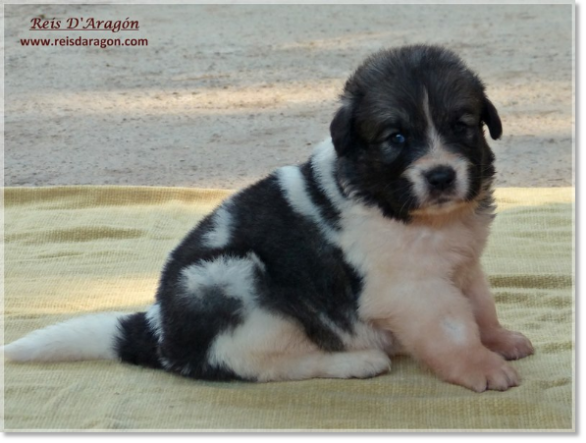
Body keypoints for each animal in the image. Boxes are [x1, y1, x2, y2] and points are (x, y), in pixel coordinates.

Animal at [2, 45, 532, 392]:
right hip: (231, 279)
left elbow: (480, 305)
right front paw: (480, 366)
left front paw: (499, 340)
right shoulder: (412, 287)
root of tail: (158, 330)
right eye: (396, 137)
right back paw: (355, 362)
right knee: (256, 363)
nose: (441, 175)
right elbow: (453, 326)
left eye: (462, 126)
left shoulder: (463, 263)